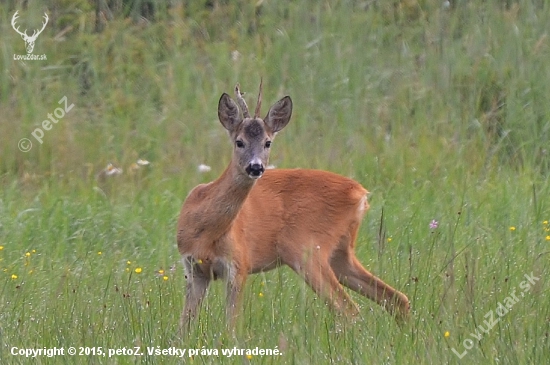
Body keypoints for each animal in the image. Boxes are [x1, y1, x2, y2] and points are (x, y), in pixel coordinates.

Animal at [179, 81, 412, 328]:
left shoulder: (239, 264)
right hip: (341, 252)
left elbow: (231, 326)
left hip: (306, 248)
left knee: (348, 310)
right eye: (239, 141)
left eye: (268, 142)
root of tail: (360, 194)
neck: (205, 231)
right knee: (396, 298)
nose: (256, 167)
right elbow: (185, 326)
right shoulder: (193, 269)